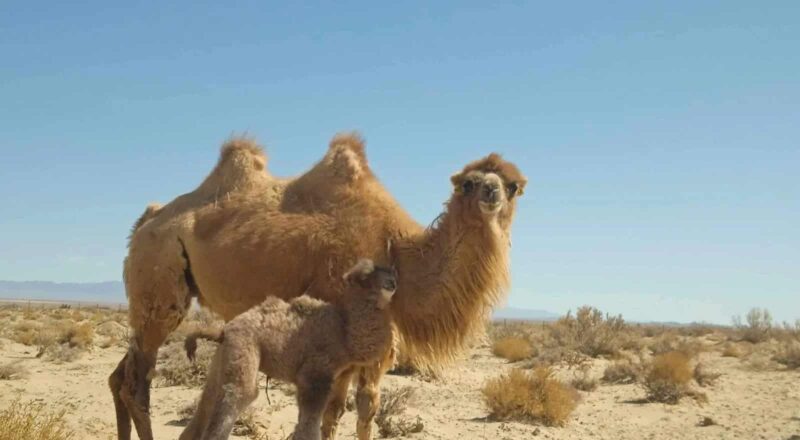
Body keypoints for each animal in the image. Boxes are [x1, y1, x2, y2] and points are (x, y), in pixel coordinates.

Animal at [178, 259, 397, 440]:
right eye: (367, 275)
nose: (393, 280)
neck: (343, 332)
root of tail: (224, 330)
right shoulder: (315, 375)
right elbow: (309, 424)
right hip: (243, 349)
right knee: (239, 395)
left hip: (223, 357)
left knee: (210, 396)